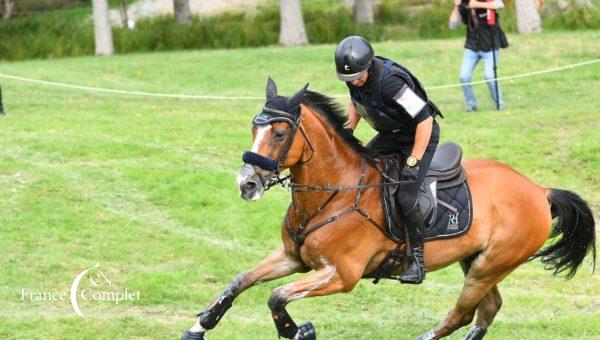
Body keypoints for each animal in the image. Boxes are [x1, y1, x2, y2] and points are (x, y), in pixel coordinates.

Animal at [182, 78, 596, 338]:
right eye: (255, 128)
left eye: (280, 134)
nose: (247, 184)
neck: (333, 193)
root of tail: (538, 190)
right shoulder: (292, 258)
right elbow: (240, 282)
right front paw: (198, 327)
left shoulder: (341, 275)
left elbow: (277, 297)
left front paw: (298, 331)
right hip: (477, 261)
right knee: (487, 309)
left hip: (490, 265)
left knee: (462, 314)